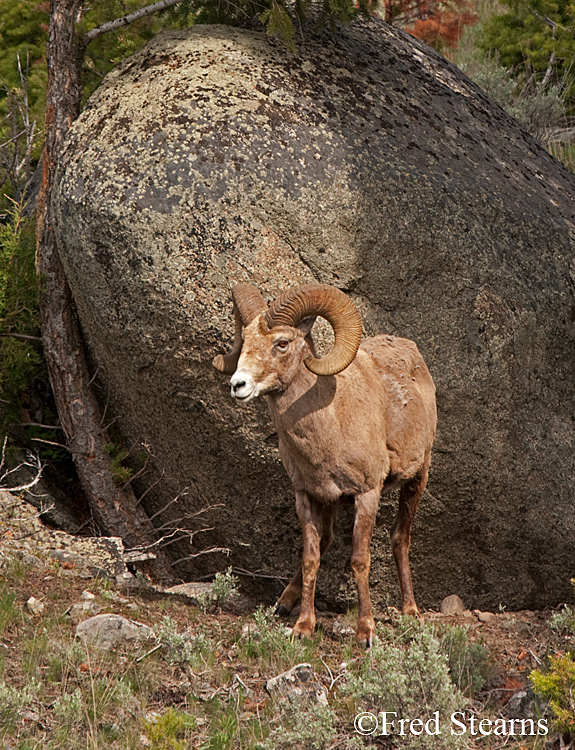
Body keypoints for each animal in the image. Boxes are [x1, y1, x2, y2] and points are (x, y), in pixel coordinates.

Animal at [213, 282, 437, 646]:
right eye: (244, 341)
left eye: (282, 342)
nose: (238, 385)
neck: (331, 425)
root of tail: (412, 354)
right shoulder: (307, 496)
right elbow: (311, 558)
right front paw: (303, 627)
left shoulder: (367, 494)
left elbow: (360, 560)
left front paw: (365, 632)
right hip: (332, 501)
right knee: (328, 540)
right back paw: (284, 602)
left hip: (418, 477)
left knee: (400, 538)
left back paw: (410, 612)